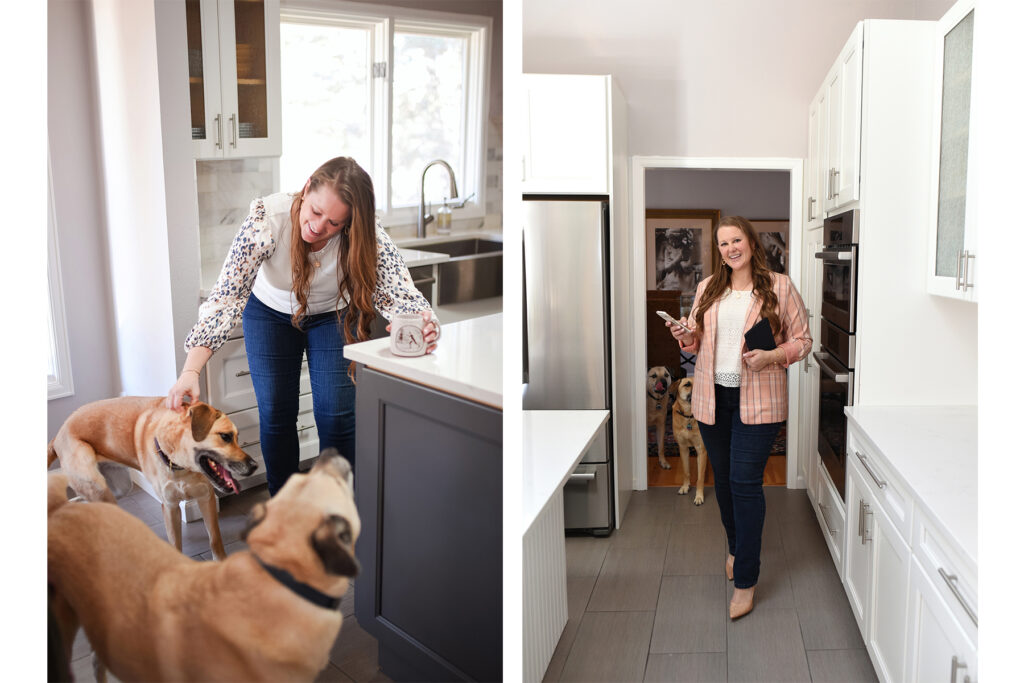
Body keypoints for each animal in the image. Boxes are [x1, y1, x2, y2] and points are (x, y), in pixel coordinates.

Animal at [47, 395, 256, 561]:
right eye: (225, 436)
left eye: (237, 437)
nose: (255, 465)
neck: (179, 466)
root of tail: (57, 436)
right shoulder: (170, 507)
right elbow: (176, 543)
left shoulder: (206, 498)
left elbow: (215, 539)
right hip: (97, 486)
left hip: (117, 487)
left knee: (86, 499)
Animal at [667, 376, 708, 505]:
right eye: (687, 384)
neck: (689, 416)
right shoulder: (683, 448)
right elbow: (686, 471)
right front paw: (685, 487)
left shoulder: (701, 450)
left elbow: (700, 478)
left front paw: (699, 496)